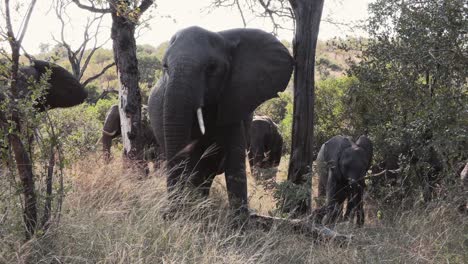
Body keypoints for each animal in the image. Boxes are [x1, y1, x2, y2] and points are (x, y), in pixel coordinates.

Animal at [147, 25, 292, 213]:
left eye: (211, 68)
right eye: (165, 67)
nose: (167, 213)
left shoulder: (233, 104)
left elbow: (234, 163)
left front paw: (239, 220)